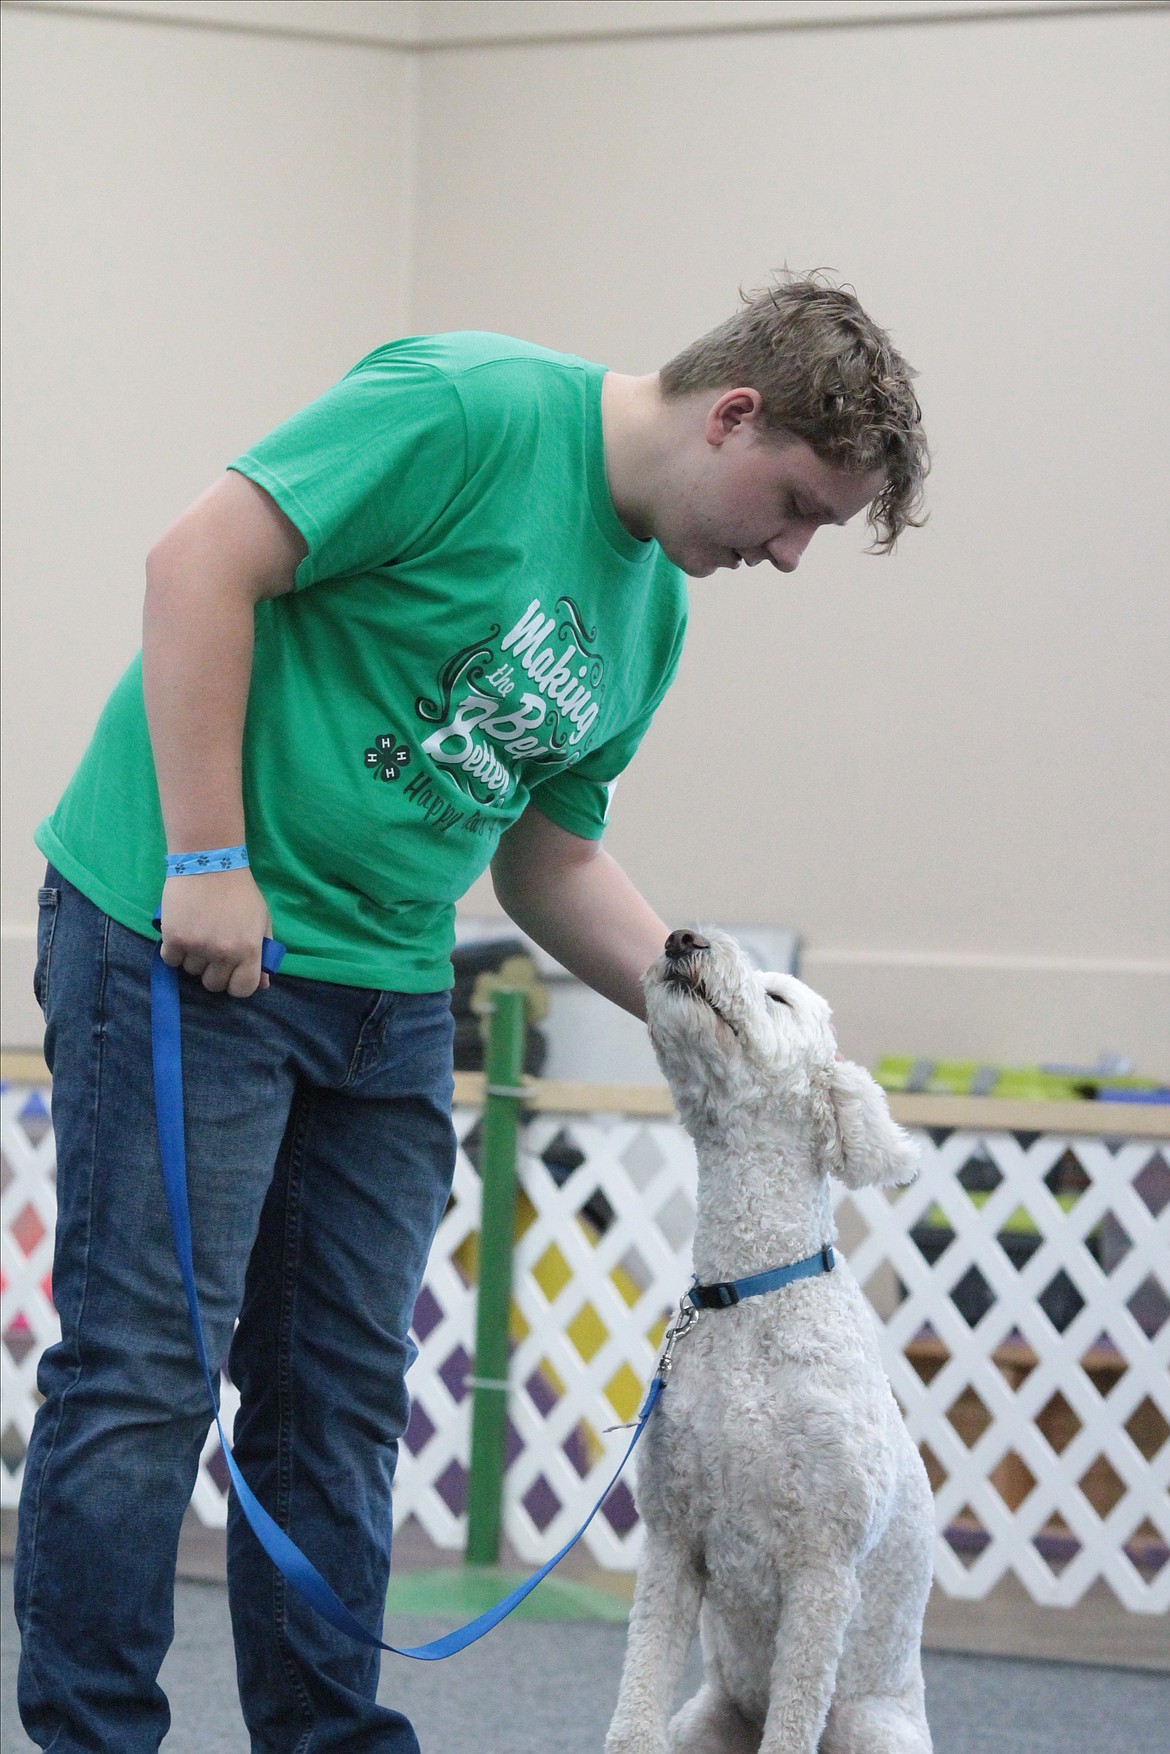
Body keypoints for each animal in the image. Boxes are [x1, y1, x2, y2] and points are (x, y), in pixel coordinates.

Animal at [610, 926, 940, 1746]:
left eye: (780, 996)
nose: (681, 937)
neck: (751, 1293)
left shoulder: (823, 1567)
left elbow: (792, 1725)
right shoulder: (672, 1541)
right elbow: (636, 1709)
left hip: (869, 1725)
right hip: (707, 1719)